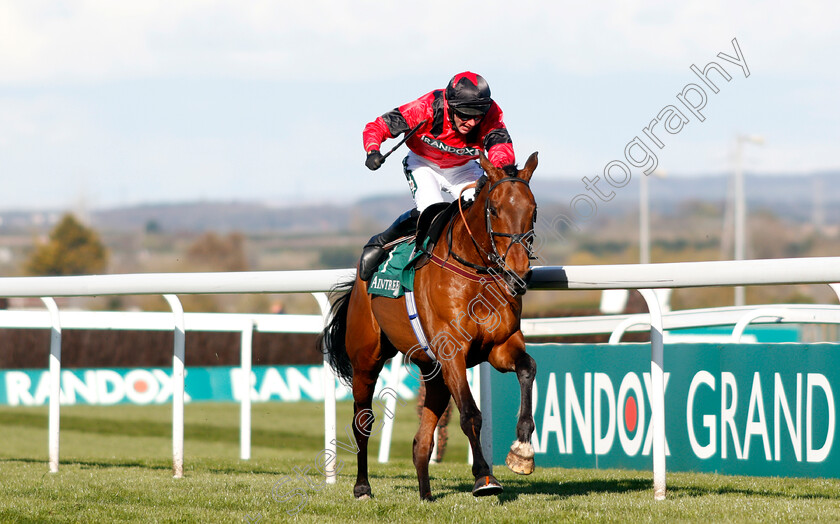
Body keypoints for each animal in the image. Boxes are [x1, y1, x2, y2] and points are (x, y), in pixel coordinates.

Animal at [318, 150, 540, 500]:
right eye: (494, 209)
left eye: (533, 210)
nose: (518, 272)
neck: (475, 273)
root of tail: (359, 282)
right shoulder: (454, 353)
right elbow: (470, 414)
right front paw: (484, 477)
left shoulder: (499, 346)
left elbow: (528, 368)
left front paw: (522, 451)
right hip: (366, 359)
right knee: (362, 422)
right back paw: (362, 486)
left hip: (432, 371)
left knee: (421, 440)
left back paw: (425, 494)